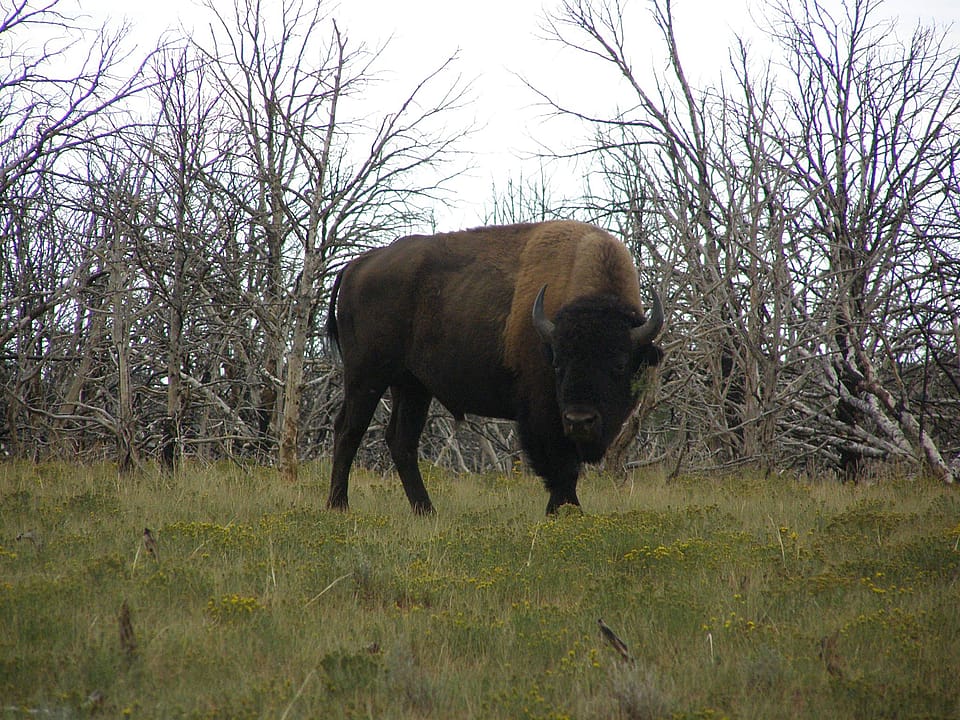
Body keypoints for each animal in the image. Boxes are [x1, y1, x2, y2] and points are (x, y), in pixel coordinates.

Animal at [325, 220, 664, 515]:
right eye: (557, 363)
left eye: (620, 364)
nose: (580, 420)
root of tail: (358, 263)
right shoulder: (541, 413)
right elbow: (560, 466)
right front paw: (566, 513)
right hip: (366, 376)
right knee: (349, 429)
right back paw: (339, 506)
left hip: (412, 386)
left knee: (401, 440)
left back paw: (426, 511)